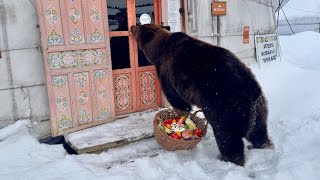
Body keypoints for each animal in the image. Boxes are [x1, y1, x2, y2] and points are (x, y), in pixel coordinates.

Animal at [131, 23, 274, 166]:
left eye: (139, 28)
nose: (132, 26)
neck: (159, 51)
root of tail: (250, 91)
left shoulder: (167, 73)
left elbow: (176, 98)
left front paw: (180, 111)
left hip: (225, 105)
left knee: (227, 135)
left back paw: (228, 158)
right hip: (259, 106)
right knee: (258, 130)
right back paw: (263, 145)